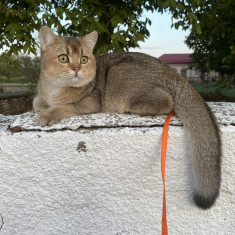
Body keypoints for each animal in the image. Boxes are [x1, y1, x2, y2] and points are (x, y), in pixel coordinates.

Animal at [33, 26, 220, 209]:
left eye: (84, 59)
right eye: (63, 58)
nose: (77, 68)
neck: (55, 88)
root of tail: (176, 75)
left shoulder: (91, 103)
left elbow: (66, 107)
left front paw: (48, 114)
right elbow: (37, 101)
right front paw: (43, 104)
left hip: (119, 73)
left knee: (168, 103)